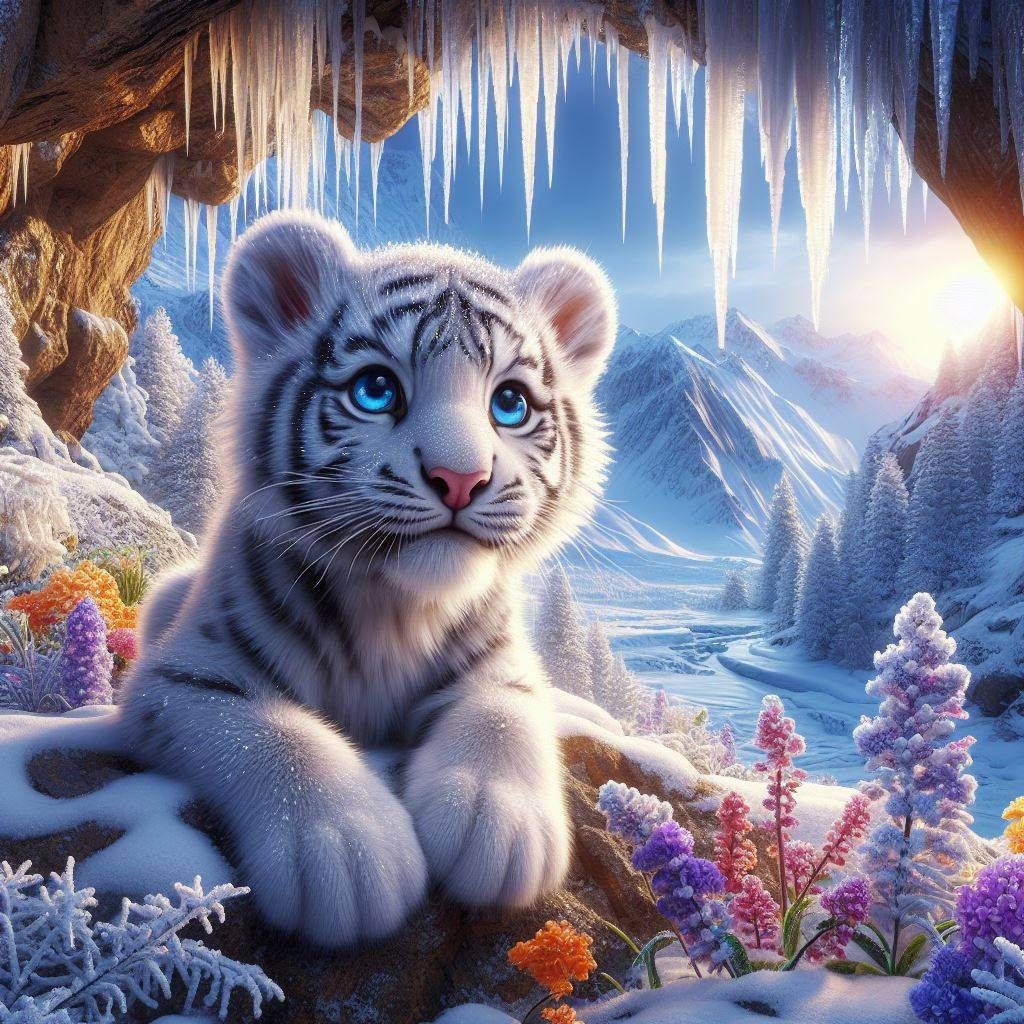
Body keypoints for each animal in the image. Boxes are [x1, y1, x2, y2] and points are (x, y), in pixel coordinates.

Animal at [122, 210, 616, 948]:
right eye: (376, 390)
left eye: (510, 403)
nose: (460, 479)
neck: (397, 608)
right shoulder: (185, 677)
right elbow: (270, 731)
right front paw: (346, 852)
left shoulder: (503, 662)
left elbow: (501, 712)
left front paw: (498, 826)